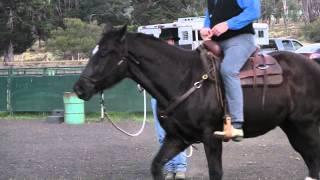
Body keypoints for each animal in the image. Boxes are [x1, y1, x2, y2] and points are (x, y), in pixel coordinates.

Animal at [73, 25, 320, 180]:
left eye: (105, 53)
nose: (79, 88)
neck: (183, 78)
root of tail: (312, 65)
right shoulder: (177, 139)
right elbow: (156, 166)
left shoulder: (212, 138)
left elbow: (216, 173)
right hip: (292, 127)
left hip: (305, 125)